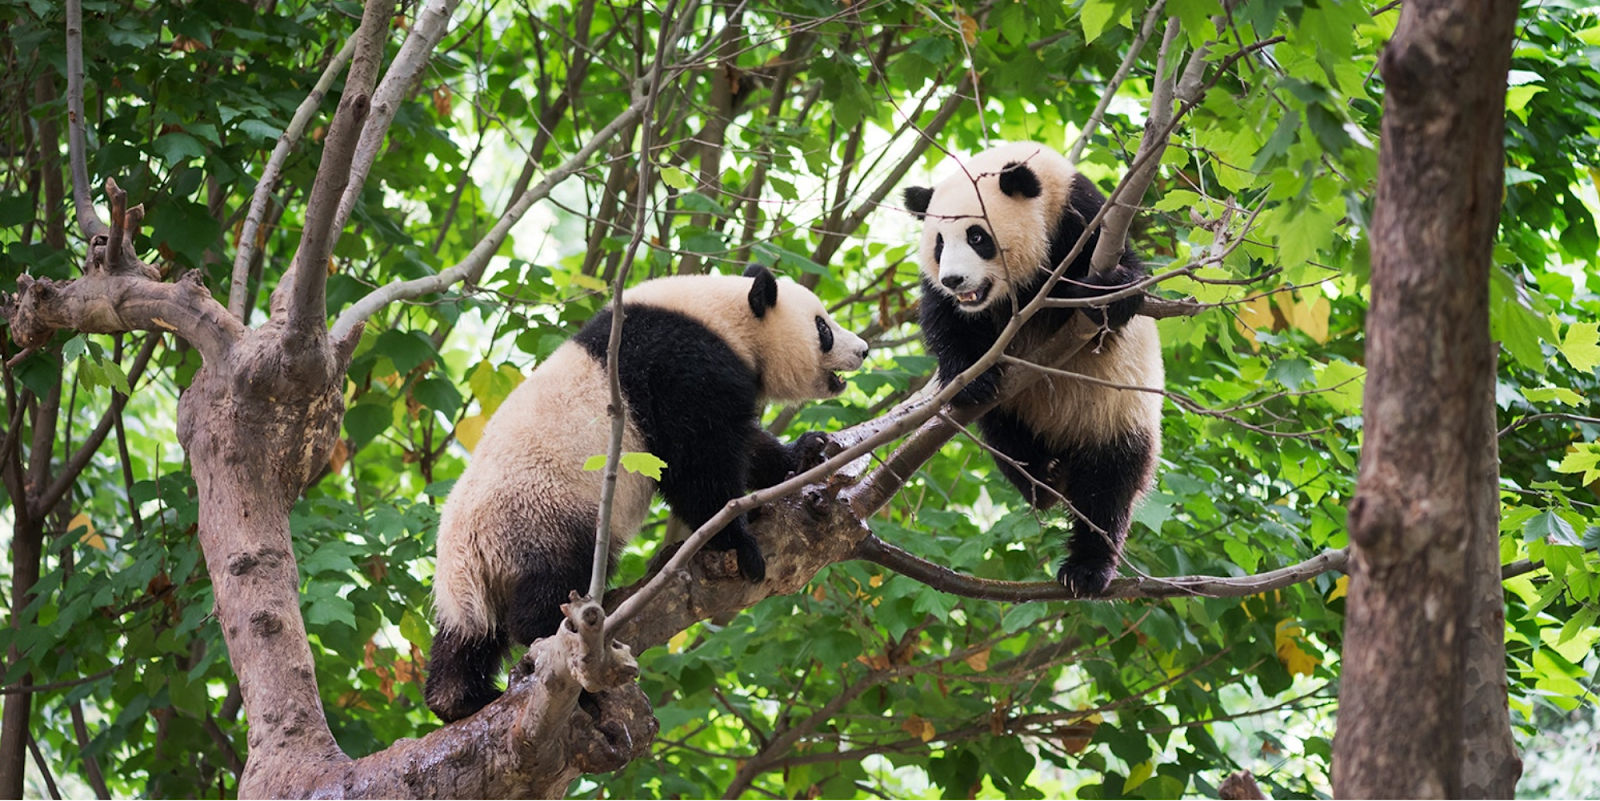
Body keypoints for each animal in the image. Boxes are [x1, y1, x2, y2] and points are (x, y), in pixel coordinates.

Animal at [425, 265, 869, 722]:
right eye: (823, 327)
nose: (864, 350)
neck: (723, 318)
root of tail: (467, 554)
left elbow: (740, 445)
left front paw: (807, 451)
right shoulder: (680, 364)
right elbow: (698, 457)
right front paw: (738, 544)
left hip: (478, 575)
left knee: (468, 636)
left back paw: (458, 699)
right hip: (543, 514)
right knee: (554, 585)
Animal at [901, 141, 1163, 596]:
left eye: (977, 236)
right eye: (938, 243)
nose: (954, 280)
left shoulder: (1085, 222)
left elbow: (1127, 282)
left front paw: (1105, 297)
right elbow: (946, 320)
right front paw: (972, 378)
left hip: (1119, 413)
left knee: (1110, 487)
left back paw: (1086, 568)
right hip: (1016, 412)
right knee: (1004, 436)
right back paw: (1044, 479)